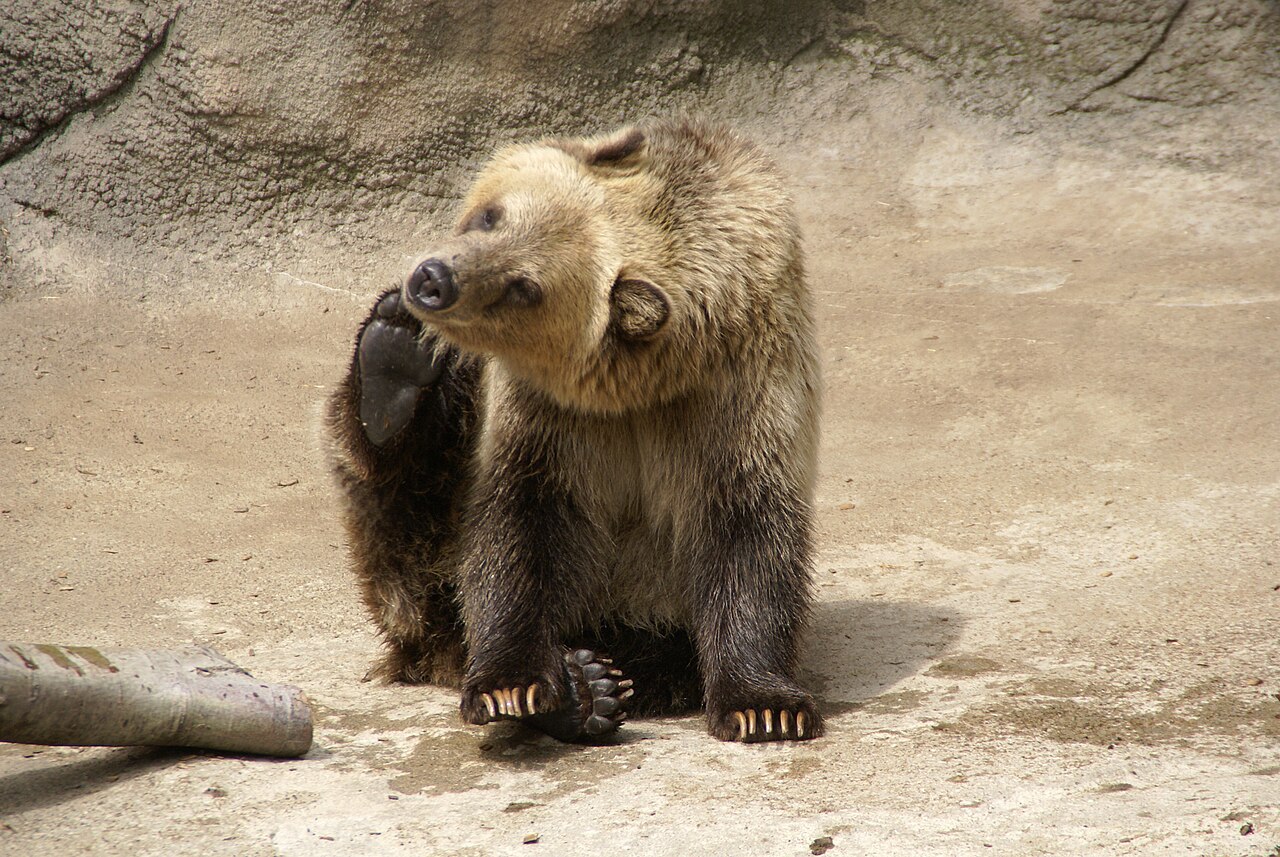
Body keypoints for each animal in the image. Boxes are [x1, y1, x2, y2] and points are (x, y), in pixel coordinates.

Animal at [326, 117, 822, 743]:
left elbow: (746, 527)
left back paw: (596, 684)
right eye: (492, 217)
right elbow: (521, 521)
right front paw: (511, 684)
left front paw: (765, 705)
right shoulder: (541, 411)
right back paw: (393, 363)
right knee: (402, 498)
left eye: (523, 287)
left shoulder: (736, 395)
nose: (433, 279)